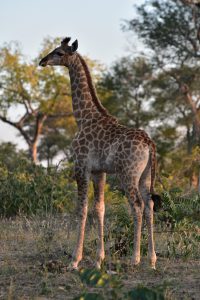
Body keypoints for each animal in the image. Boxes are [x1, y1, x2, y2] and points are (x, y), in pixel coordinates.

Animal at [39, 37, 158, 270]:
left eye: (59, 53)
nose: (42, 61)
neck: (83, 117)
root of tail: (149, 144)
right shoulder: (98, 171)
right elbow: (100, 209)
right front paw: (98, 259)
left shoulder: (81, 166)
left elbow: (82, 209)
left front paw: (75, 260)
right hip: (145, 176)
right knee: (149, 205)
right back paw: (152, 259)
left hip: (127, 174)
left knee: (137, 206)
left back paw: (135, 258)